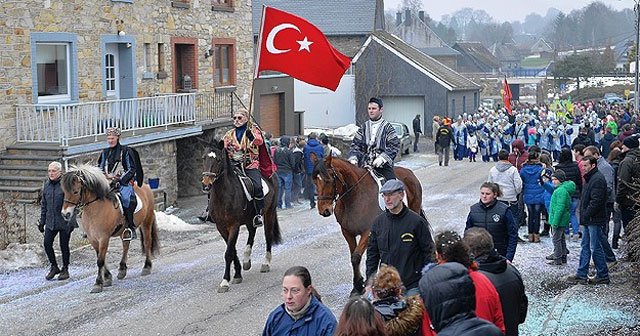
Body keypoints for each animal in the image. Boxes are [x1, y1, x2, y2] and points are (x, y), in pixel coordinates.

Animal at [60, 164, 159, 292]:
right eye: (64, 191)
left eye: (75, 191)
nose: (65, 214)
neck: (95, 208)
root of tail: (146, 186)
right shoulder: (93, 239)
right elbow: (100, 257)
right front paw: (107, 277)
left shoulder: (104, 238)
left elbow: (100, 260)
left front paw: (98, 283)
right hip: (125, 230)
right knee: (126, 245)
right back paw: (122, 269)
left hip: (147, 221)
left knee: (147, 242)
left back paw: (147, 267)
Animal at [202, 140, 282, 292]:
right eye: (203, 158)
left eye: (218, 159)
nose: (206, 184)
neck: (224, 195)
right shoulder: (221, 227)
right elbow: (232, 250)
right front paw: (237, 273)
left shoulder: (234, 225)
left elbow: (229, 252)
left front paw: (225, 282)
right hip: (250, 219)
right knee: (252, 233)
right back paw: (246, 260)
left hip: (269, 213)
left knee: (268, 236)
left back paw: (266, 263)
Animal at [312, 154, 428, 296]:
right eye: (314, 181)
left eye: (328, 180)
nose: (324, 210)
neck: (354, 197)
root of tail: (409, 172)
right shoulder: (347, 232)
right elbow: (354, 256)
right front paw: (357, 286)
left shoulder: (368, 231)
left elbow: (356, 257)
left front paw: (359, 284)